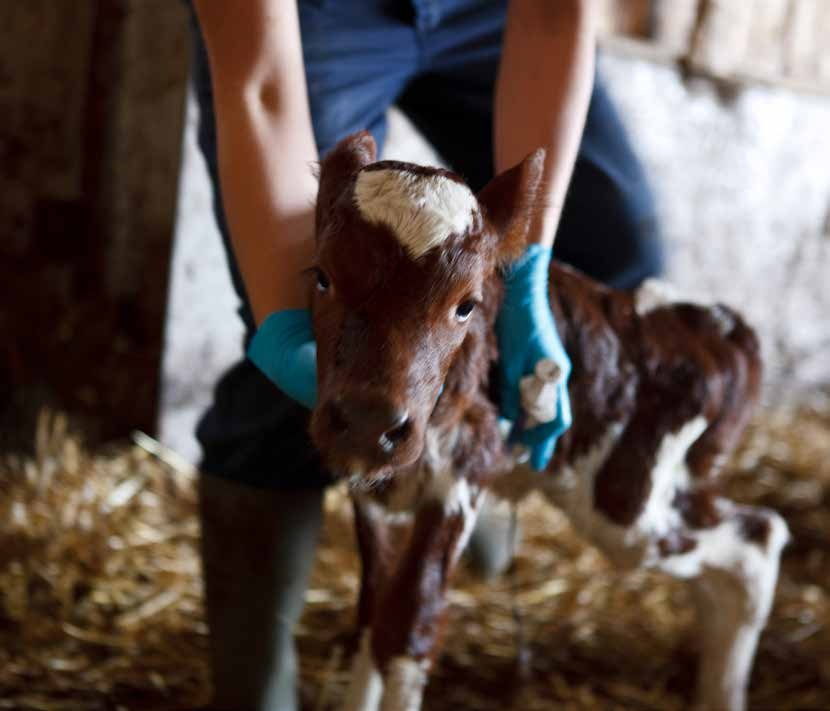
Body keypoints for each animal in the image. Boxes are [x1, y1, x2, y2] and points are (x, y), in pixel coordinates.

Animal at [308, 132, 788, 711]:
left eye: (466, 305)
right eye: (322, 277)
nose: (367, 421)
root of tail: (715, 324)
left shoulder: (465, 467)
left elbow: (408, 628)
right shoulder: (372, 489)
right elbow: (372, 615)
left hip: (629, 500)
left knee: (758, 537)